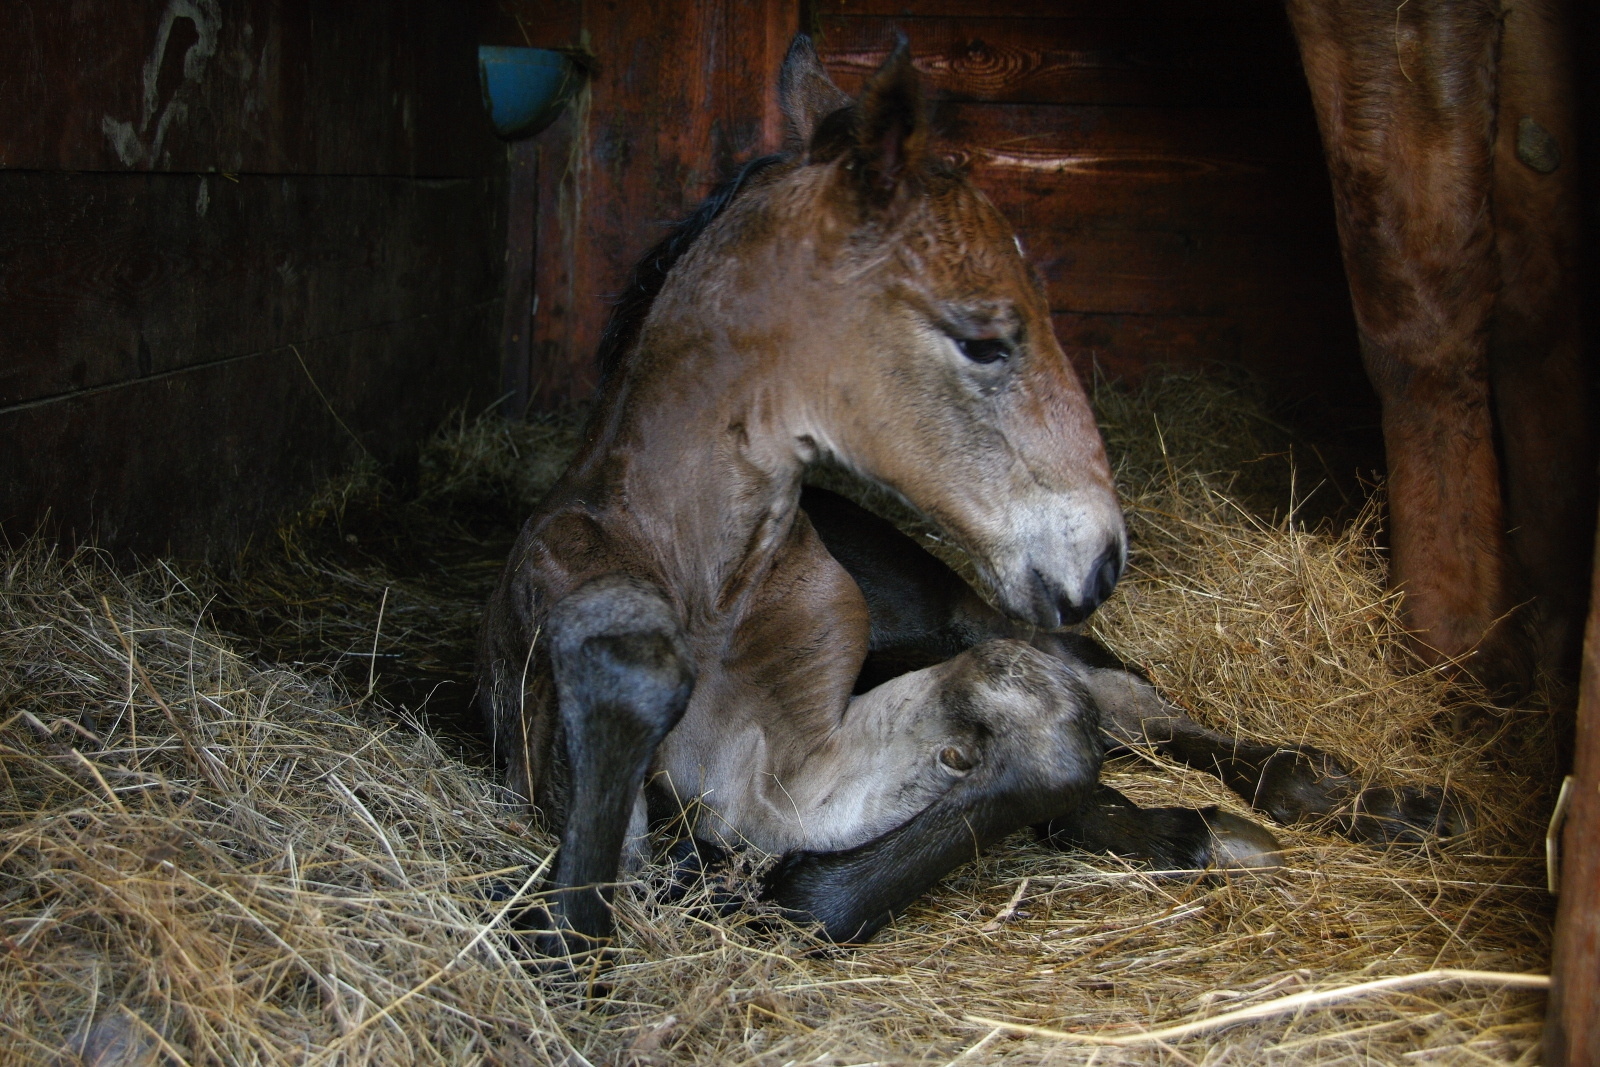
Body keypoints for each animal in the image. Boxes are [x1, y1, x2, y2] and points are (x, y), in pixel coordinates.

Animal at [476, 37, 1465, 947]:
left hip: (968, 604)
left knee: (1134, 703)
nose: (1101, 559)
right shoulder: (758, 777)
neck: (712, 577)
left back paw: (1375, 801)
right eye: (985, 340)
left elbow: (1044, 723)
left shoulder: (799, 751)